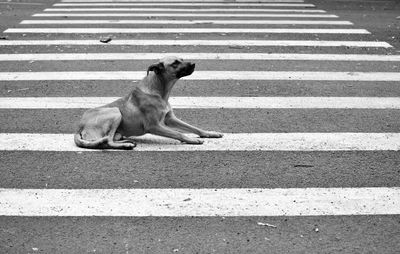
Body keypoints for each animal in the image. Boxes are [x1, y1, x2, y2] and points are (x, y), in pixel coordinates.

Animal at [74, 56, 223, 149]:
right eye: (175, 63)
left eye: (182, 59)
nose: (193, 64)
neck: (159, 90)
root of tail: (79, 127)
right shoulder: (154, 126)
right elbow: (179, 133)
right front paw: (192, 139)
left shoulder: (170, 119)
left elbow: (194, 127)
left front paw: (210, 133)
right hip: (115, 112)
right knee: (107, 141)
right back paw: (126, 145)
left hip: (117, 127)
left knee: (108, 139)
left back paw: (126, 141)